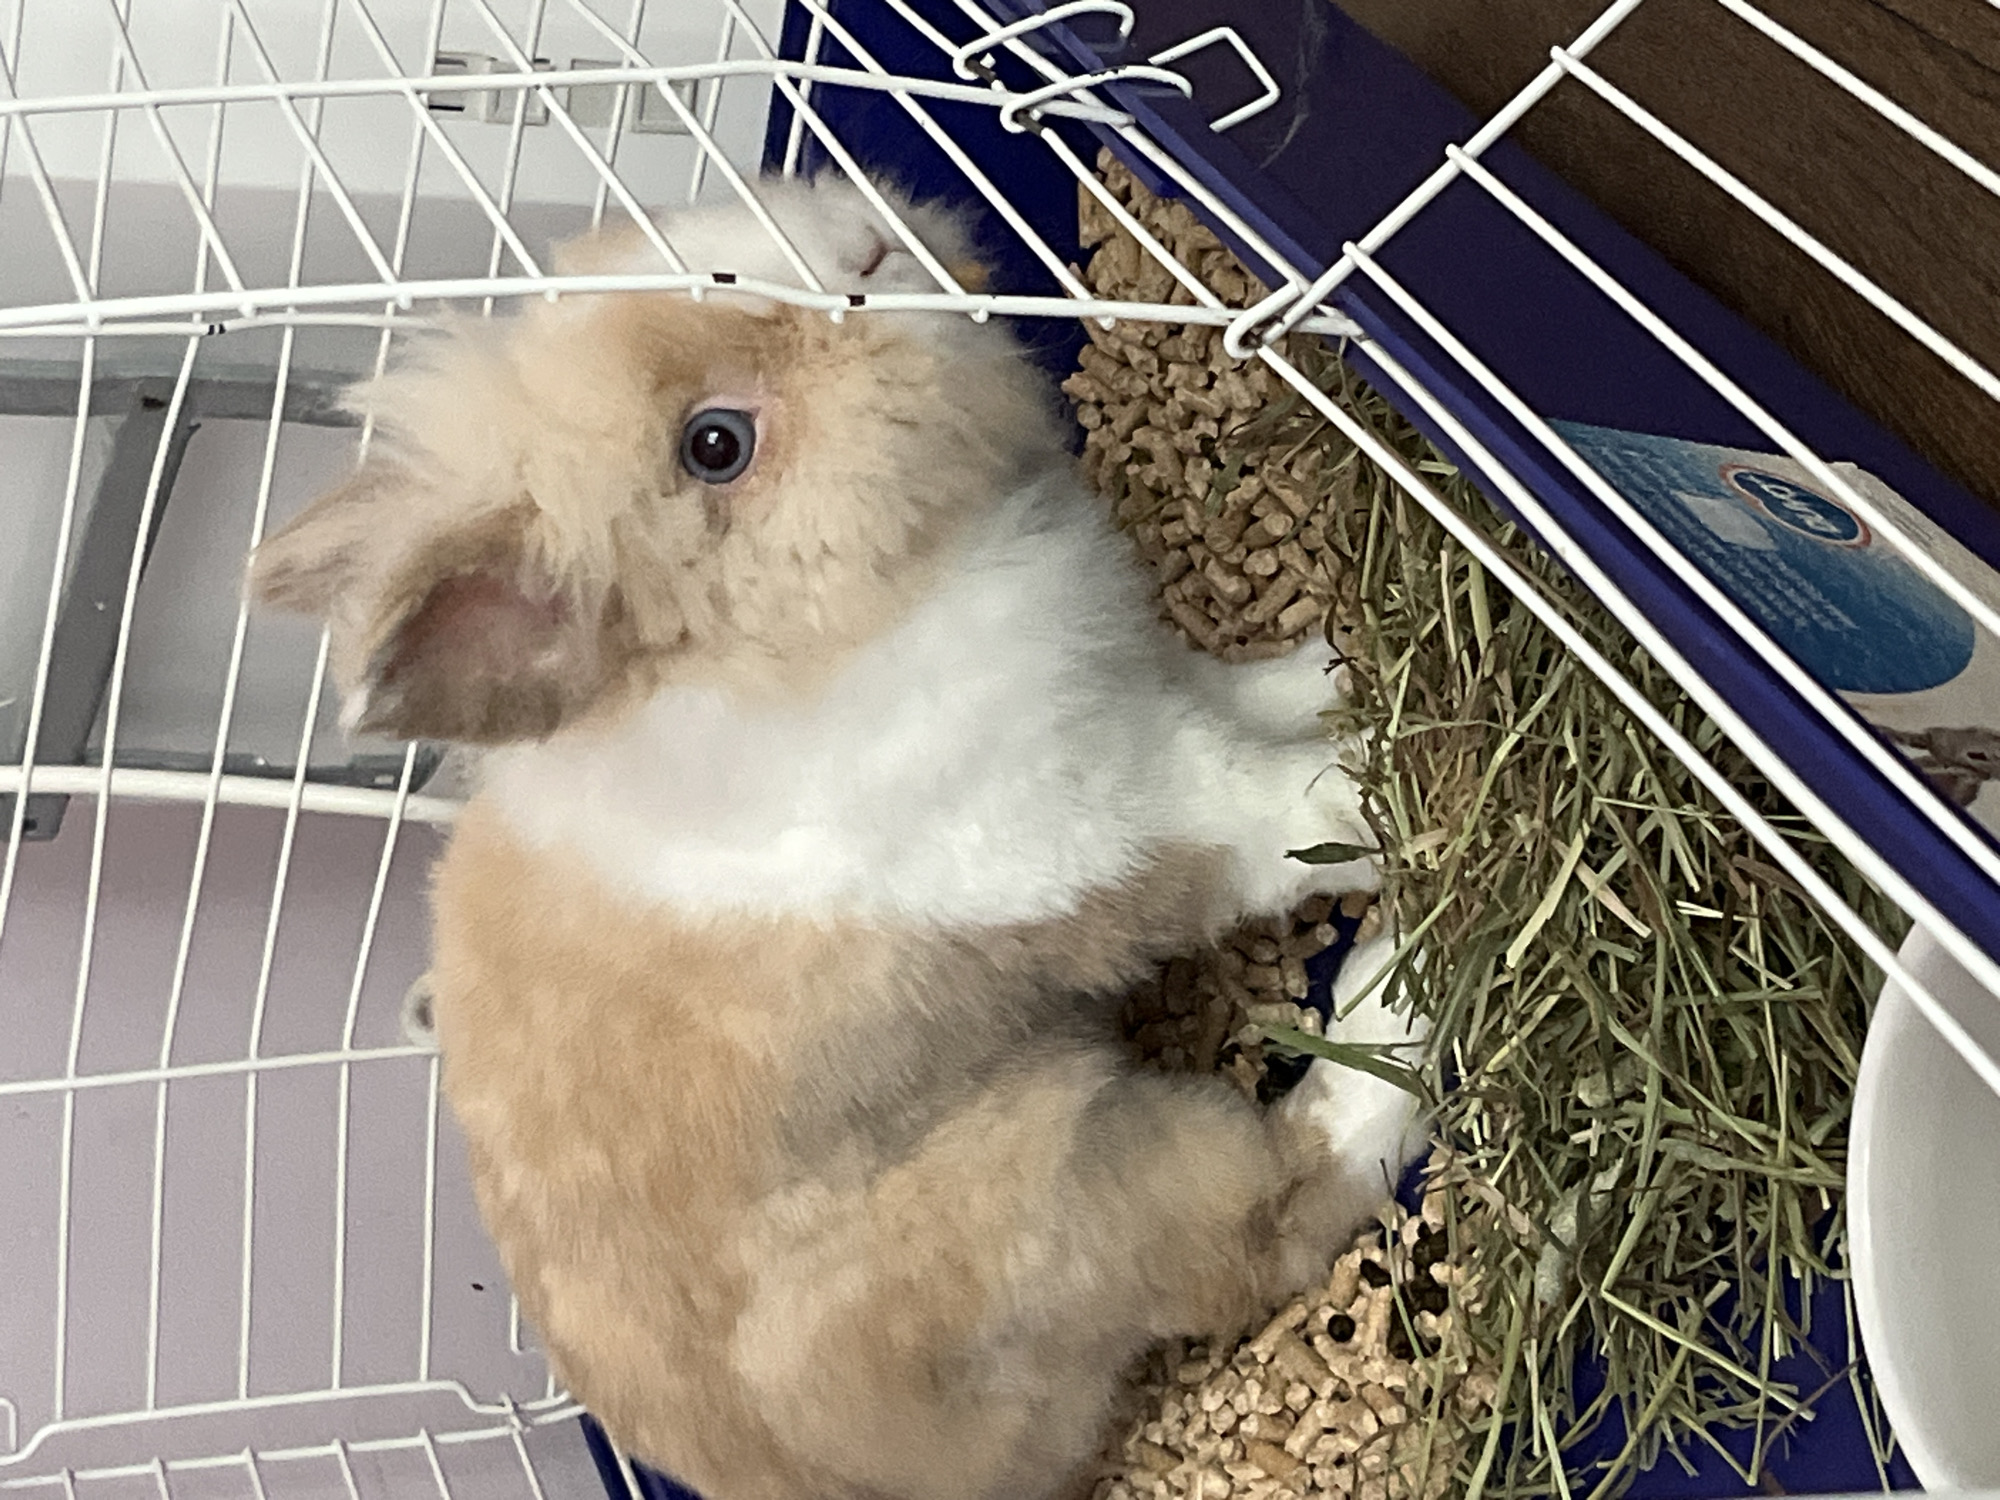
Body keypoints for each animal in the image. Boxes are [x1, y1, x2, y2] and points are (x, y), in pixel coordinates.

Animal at [252, 172, 1426, 1500]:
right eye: (715, 446)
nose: (865, 247)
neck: (833, 618)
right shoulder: (1110, 828)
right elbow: (1263, 815)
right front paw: (1371, 796)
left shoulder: (1146, 690)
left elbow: (1243, 694)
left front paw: (1335, 671)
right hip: (1079, 1180)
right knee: (1272, 1215)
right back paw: (1394, 1003)